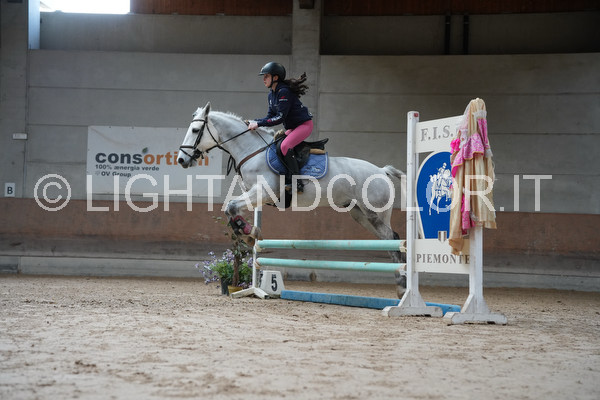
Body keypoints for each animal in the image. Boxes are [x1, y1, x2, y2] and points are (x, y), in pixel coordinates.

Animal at [177, 102, 407, 296]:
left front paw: (249, 232)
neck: (251, 151)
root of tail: (382, 171)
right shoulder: (255, 195)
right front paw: (248, 234)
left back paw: (403, 286)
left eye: (195, 131)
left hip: (374, 213)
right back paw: (401, 284)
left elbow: (232, 206)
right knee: (389, 242)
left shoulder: (264, 191)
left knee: (394, 238)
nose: (181, 160)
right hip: (360, 215)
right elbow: (229, 209)